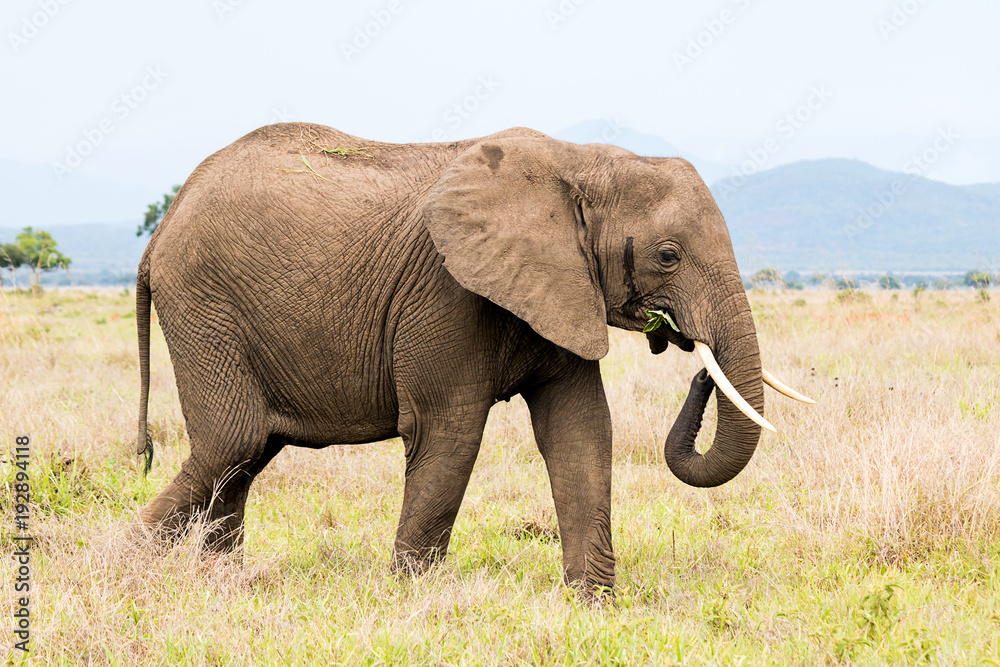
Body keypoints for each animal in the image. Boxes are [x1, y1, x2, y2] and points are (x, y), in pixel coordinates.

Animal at [135, 122, 812, 593]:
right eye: (668, 255)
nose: (695, 359)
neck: (577, 161)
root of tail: (165, 221)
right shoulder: (447, 291)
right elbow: (449, 432)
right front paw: (409, 598)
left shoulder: (561, 284)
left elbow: (582, 431)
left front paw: (594, 605)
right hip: (203, 303)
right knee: (235, 441)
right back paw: (126, 560)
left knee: (244, 457)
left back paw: (215, 579)